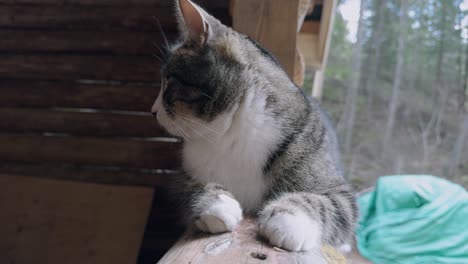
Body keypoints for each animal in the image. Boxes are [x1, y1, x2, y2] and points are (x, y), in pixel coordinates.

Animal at [152, 0, 356, 252]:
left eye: (167, 80)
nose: (153, 110)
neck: (229, 134)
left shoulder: (340, 191)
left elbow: (327, 204)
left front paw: (288, 219)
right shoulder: (181, 176)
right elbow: (192, 186)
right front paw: (218, 203)